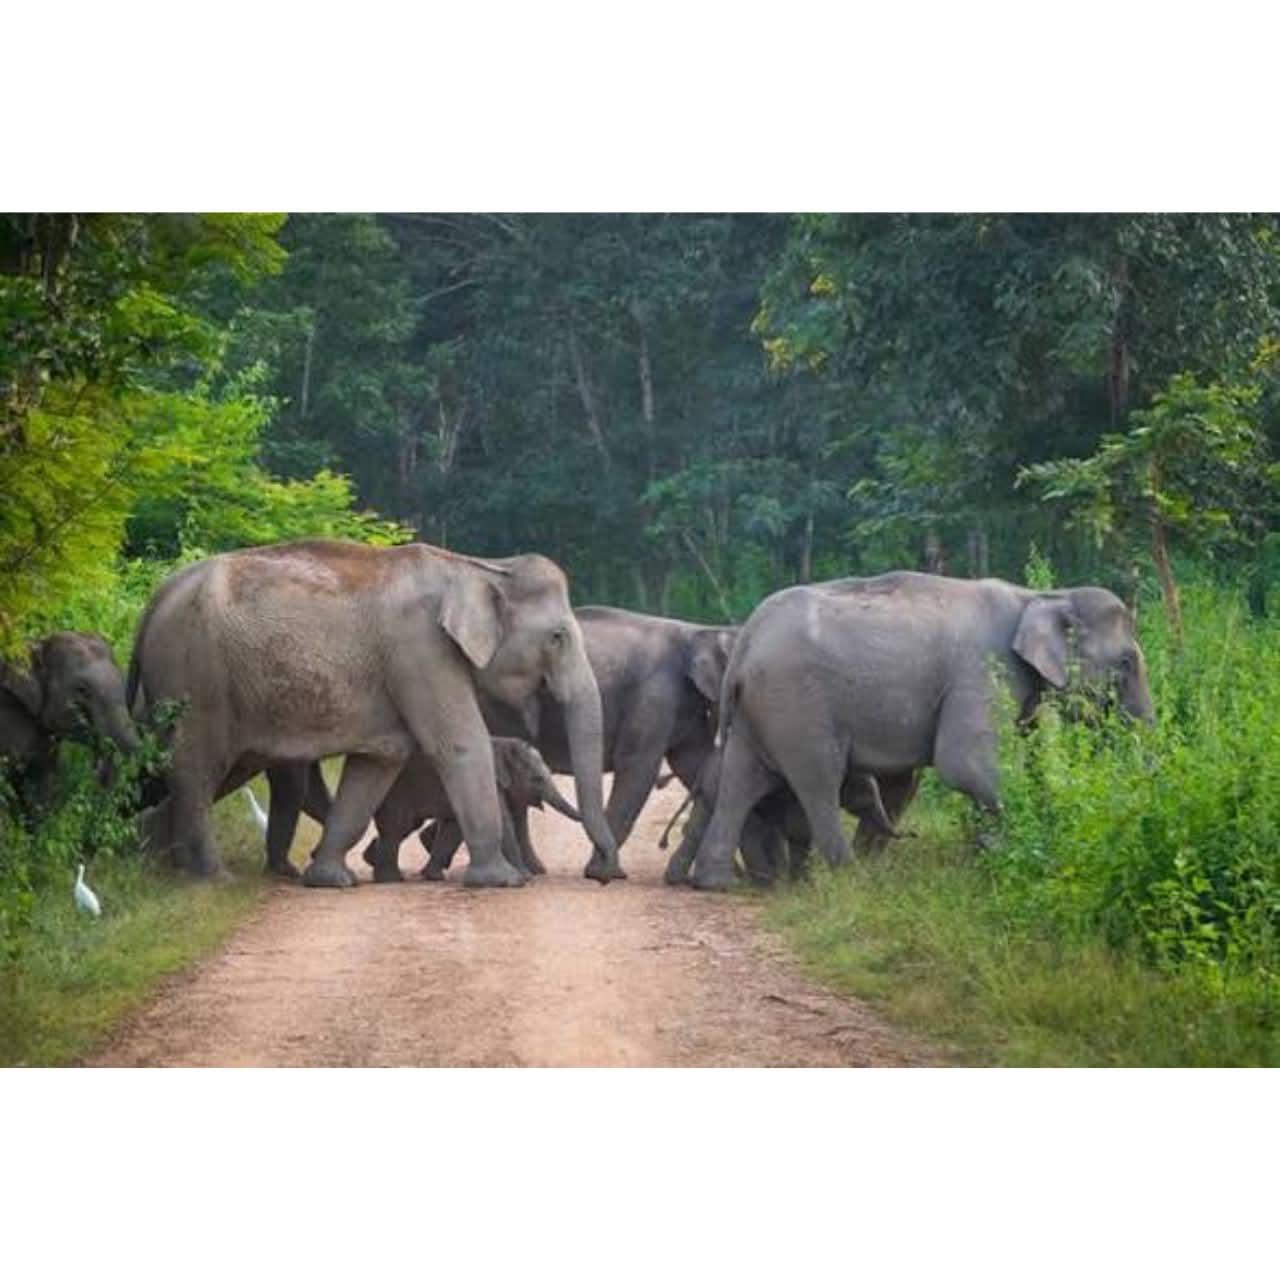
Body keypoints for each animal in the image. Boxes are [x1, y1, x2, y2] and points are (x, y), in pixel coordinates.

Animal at [127, 538, 619, 887]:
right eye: (557, 637)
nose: (604, 874)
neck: (478, 565)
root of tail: (156, 599)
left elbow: (381, 761)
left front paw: (331, 881)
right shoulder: (420, 650)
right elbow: (459, 743)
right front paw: (503, 882)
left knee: (202, 773)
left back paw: (158, 859)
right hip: (196, 677)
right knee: (197, 767)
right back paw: (212, 879)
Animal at [688, 571, 1155, 890]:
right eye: (1127, 663)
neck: (1040, 596)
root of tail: (746, 641)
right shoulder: (983, 670)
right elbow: (963, 763)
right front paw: (1009, 851)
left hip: (759, 710)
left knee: (741, 780)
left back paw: (718, 883)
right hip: (797, 705)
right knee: (818, 780)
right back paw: (850, 878)